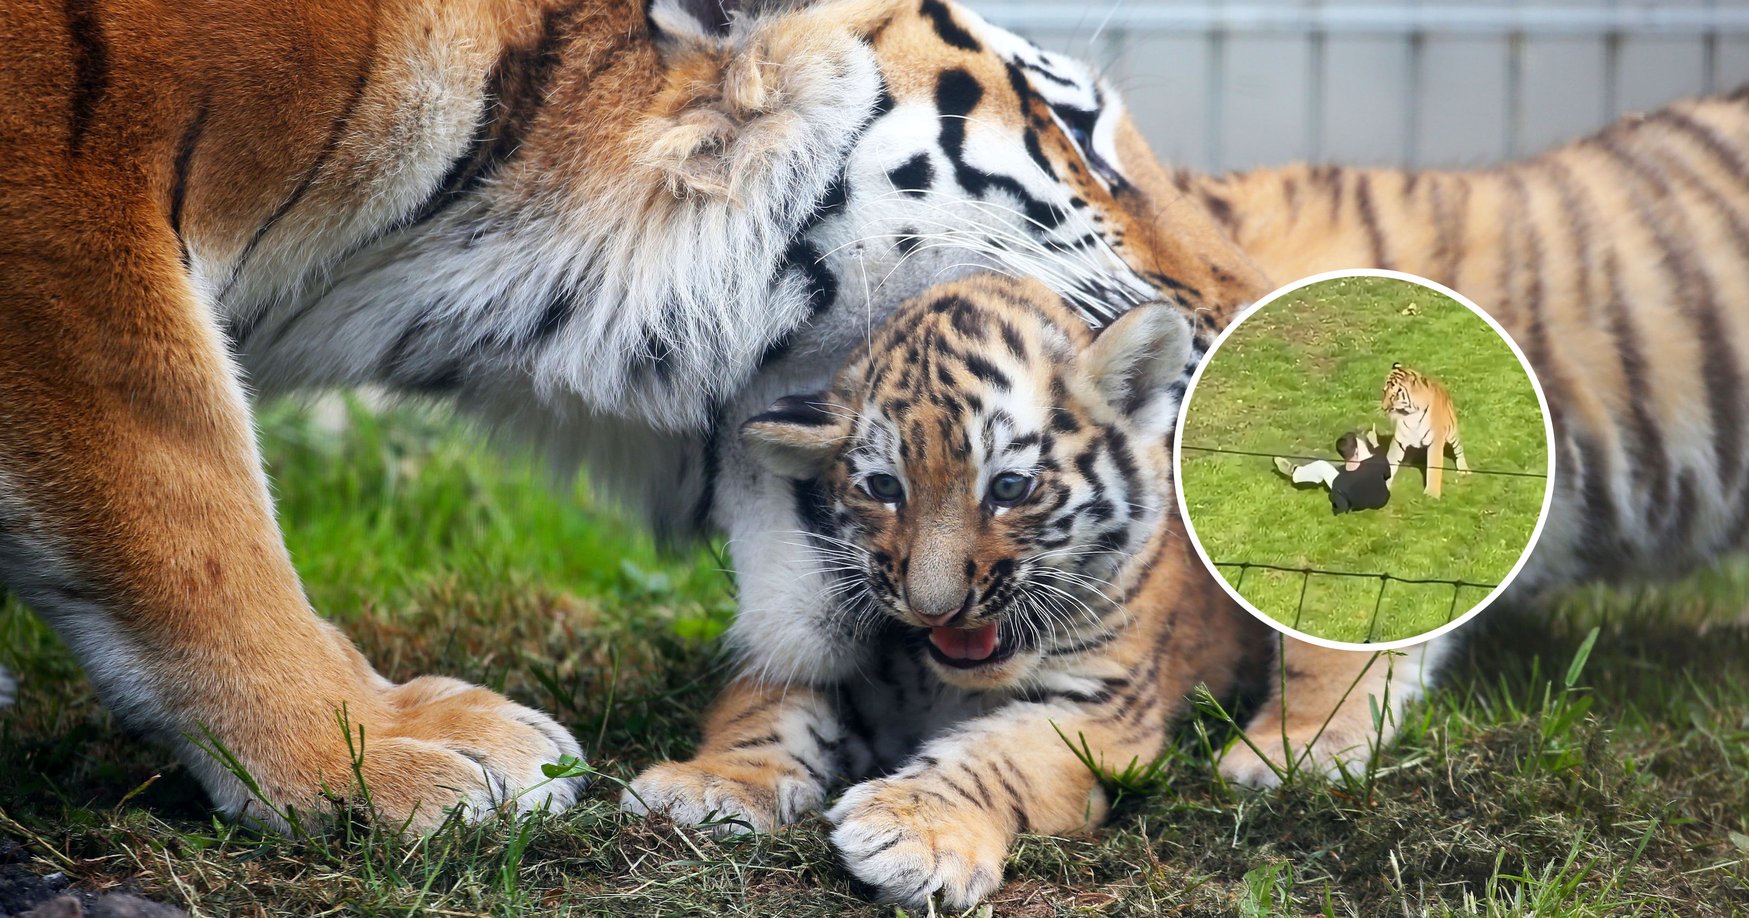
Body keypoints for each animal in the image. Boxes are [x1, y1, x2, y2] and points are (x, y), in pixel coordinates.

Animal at [1379, 362, 1469, 497]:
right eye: (1384, 392)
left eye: (1394, 396)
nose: (1384, 408)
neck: (1411, 414)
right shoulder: (1399, 439)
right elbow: (1391, 460)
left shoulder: (1435, 442)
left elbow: (1434, 467)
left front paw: (1431, 494)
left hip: (1452, 433)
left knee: (1459, 449)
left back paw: (1464, 469)